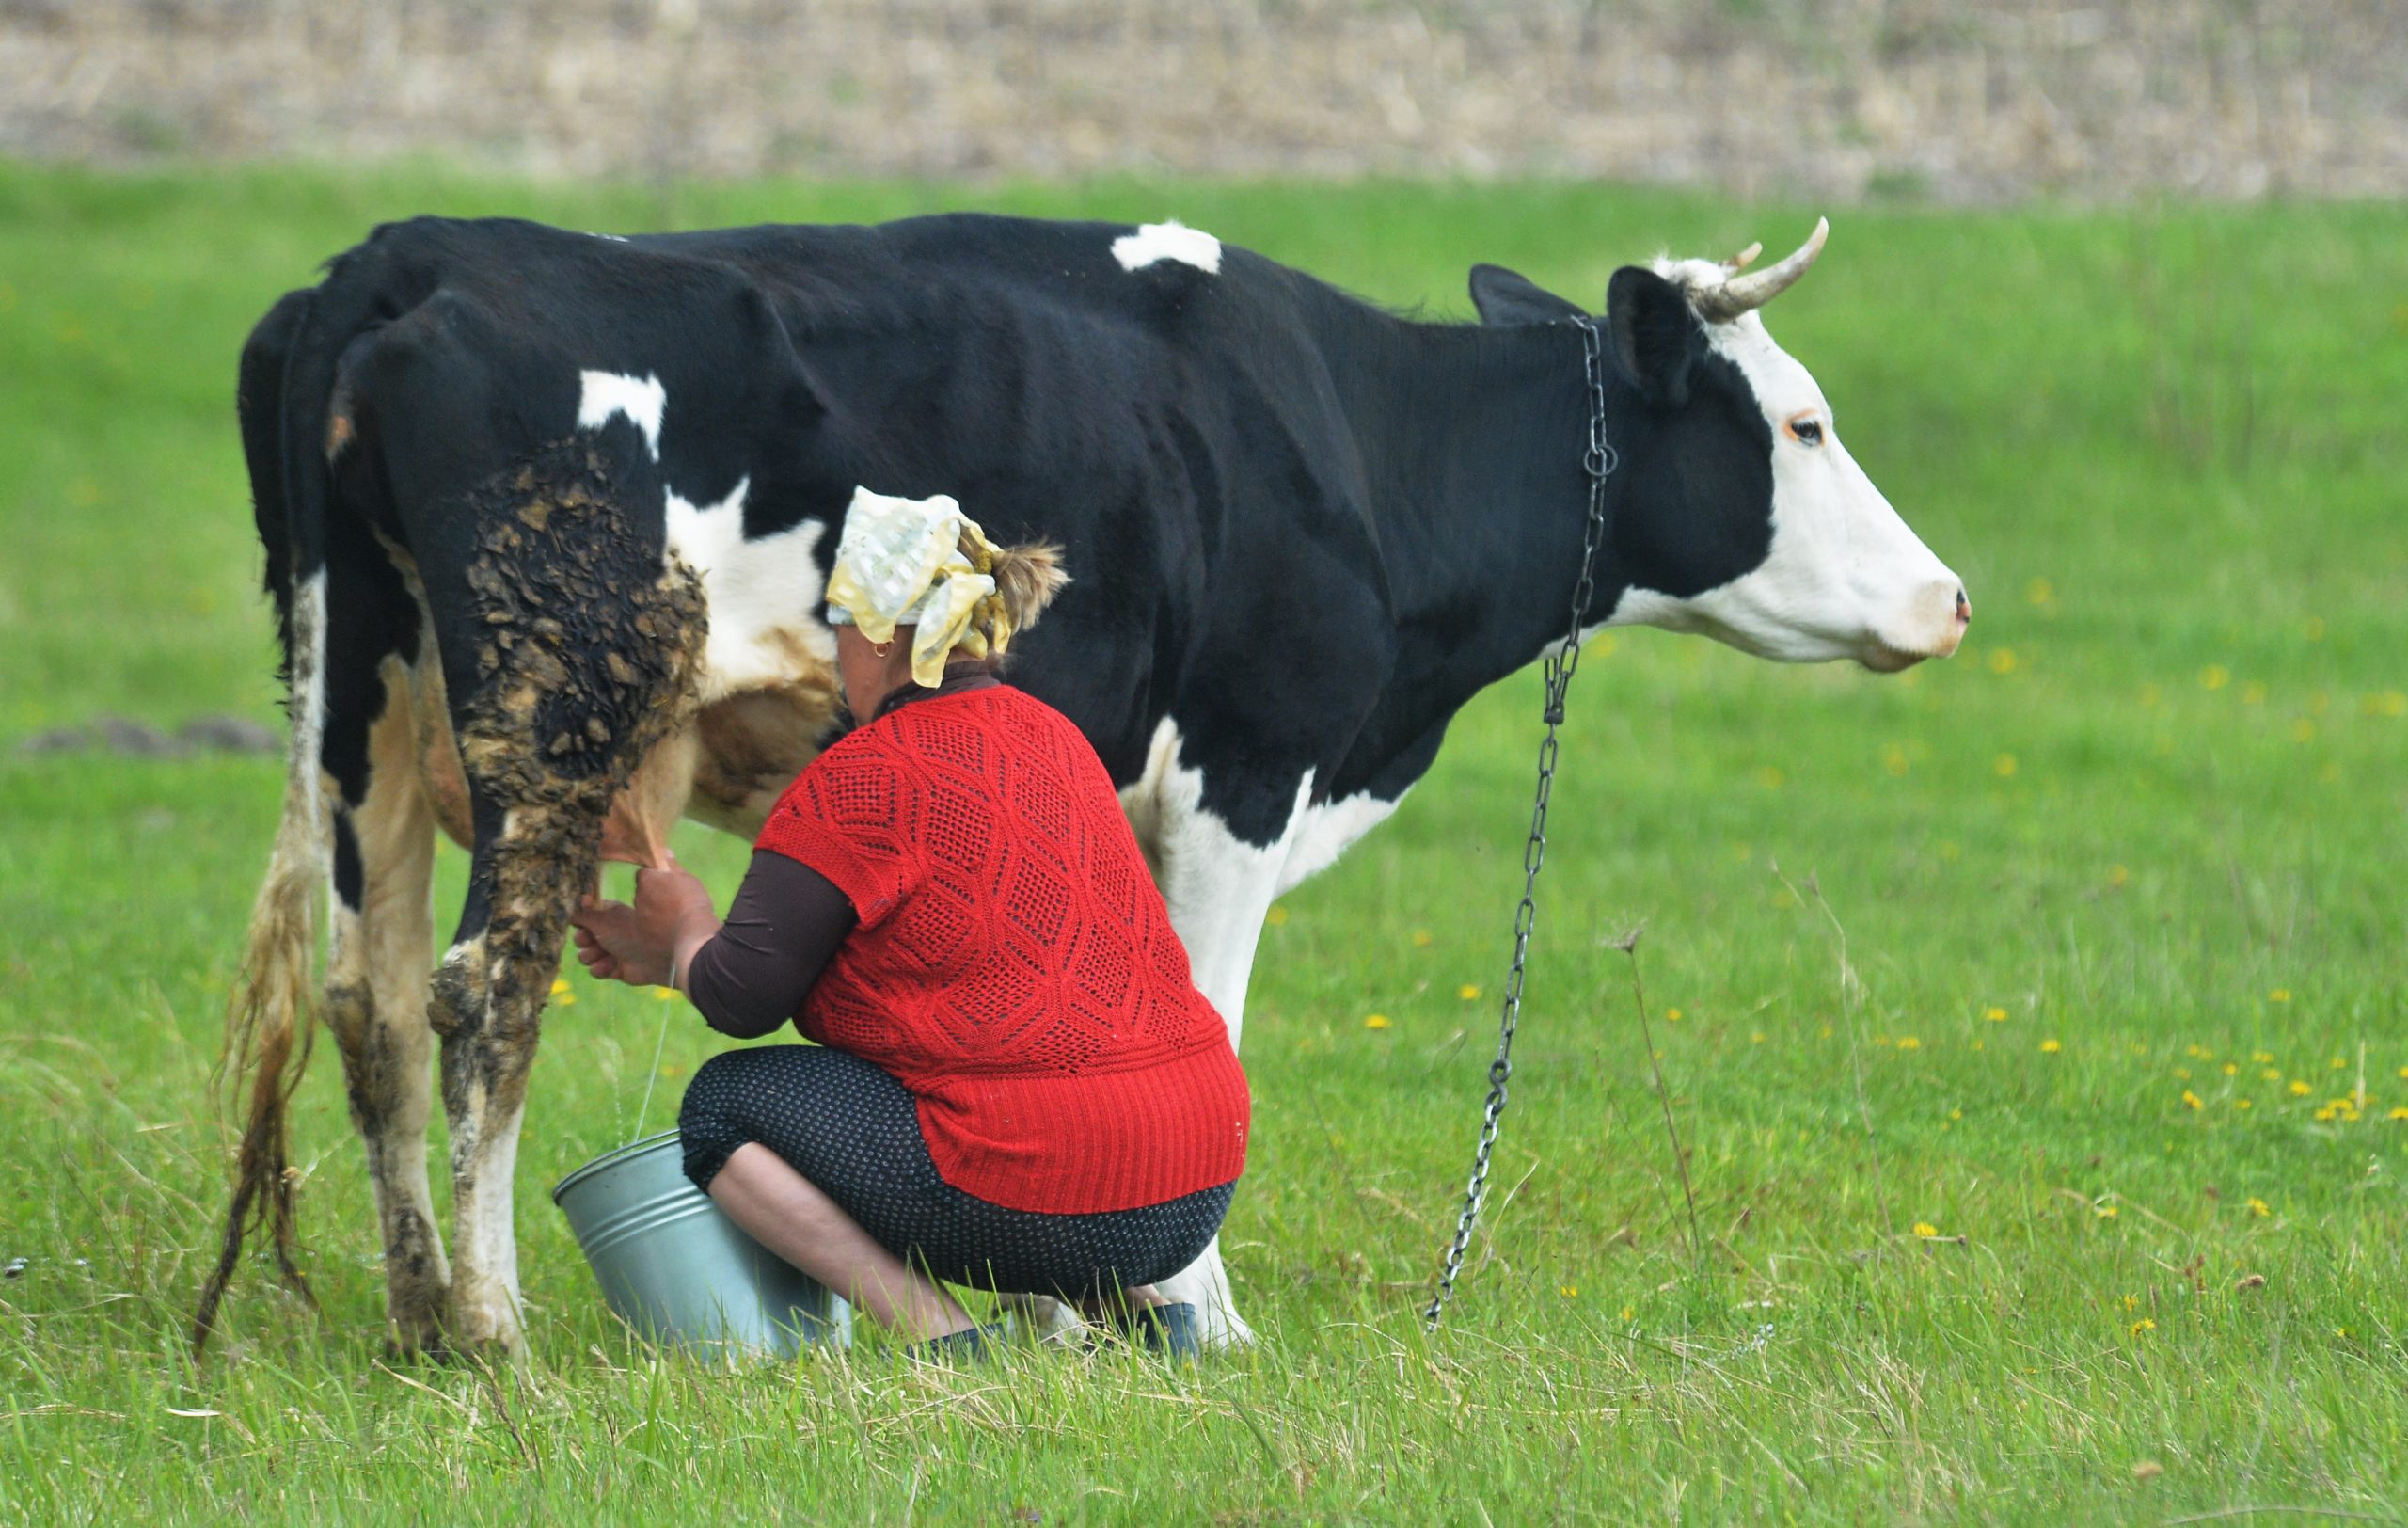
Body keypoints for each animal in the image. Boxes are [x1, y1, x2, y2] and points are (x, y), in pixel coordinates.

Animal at [202, 204, 1974, 1359]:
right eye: (1803, 423)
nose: (1951, 596)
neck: (1349, 448)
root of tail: (404, 254)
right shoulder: (1249, 767)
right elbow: (1206, 1026)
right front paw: (1192, 1313)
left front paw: (1069, 1305)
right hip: (556, 704)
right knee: (481, 992)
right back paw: (494, 1322)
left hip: (362, 716)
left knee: (371, 998)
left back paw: (421, 1315)